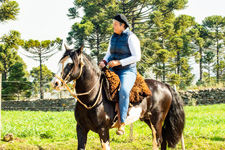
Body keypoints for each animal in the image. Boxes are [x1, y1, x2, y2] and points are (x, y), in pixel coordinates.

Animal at [51, 46, 185, 150]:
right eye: (59, 62)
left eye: (70, 63)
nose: (55, 83)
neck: (91, 98)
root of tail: (165, 85)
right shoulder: (81, 128)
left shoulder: (103, 130)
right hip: (149, 119)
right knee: (162, 140)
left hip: (156, 121)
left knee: (157, 141)